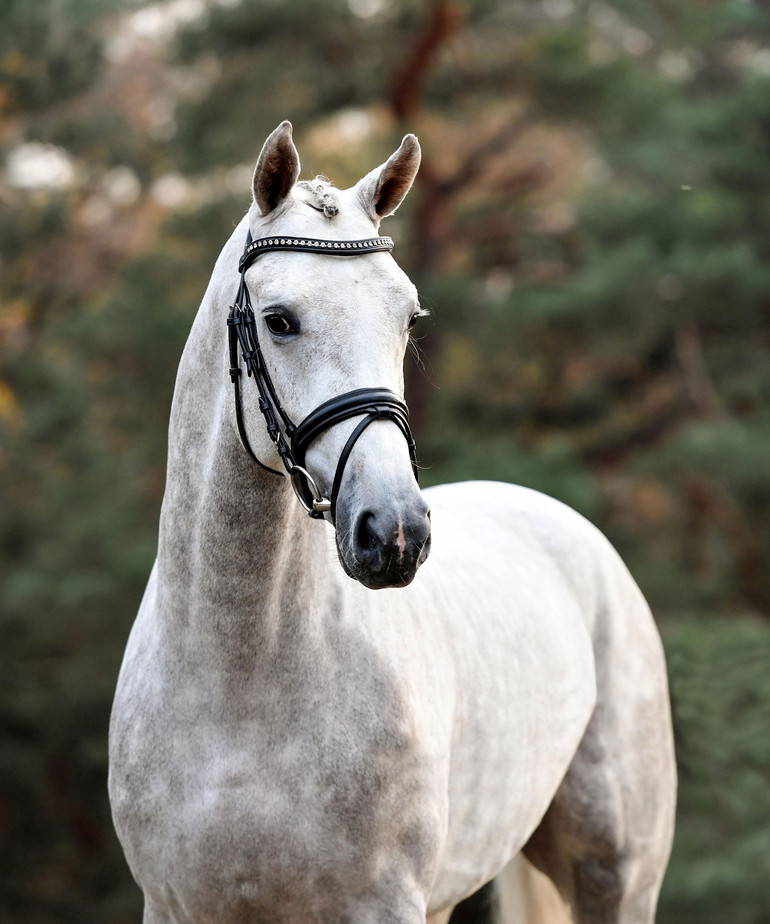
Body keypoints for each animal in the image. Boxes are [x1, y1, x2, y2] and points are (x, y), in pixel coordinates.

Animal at [108, 122, 672, 924]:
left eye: (406, 317)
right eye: (280, 321)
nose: (395, 532)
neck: (238, 686)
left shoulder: (383, 903)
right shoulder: (173, 904)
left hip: (615, 875)